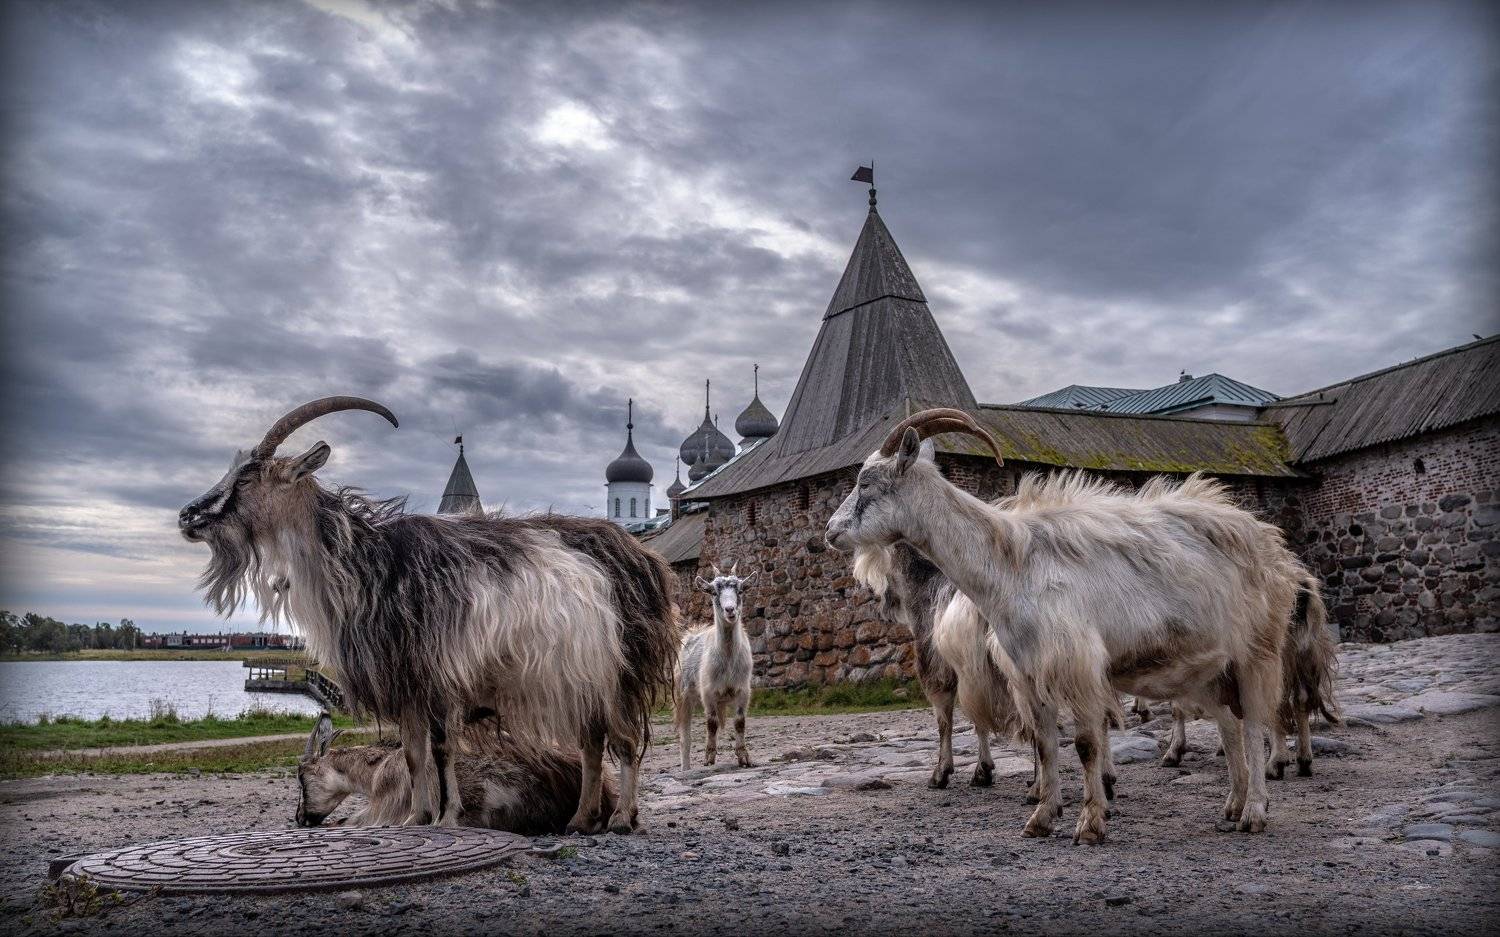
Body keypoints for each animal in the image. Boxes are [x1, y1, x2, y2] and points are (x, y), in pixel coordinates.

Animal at [675, 564, 754, 769]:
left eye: (740, 590)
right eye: (713, 592)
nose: (730, 610)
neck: (728, 659)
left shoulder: (743, 690)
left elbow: (740, 722)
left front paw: (744, 757)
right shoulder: (708, 692)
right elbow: (711, 723)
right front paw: (709, 758)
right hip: (683, 695)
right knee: (685, 738)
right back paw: (685, 767)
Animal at [826, 408, 1297, 843]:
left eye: (865, 482)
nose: (830, 531)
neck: (1011, 566)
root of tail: (1268, 540)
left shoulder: (1077, 667)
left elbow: (1086, 745)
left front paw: (1090, 823)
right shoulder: (1027, 674)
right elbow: (1044, 743)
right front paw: (1041, 817)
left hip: (1256, 650)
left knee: (1254, 725)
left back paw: (1254, 812)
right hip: (1211, 668)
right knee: (1230, 727)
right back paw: (1233, 804)